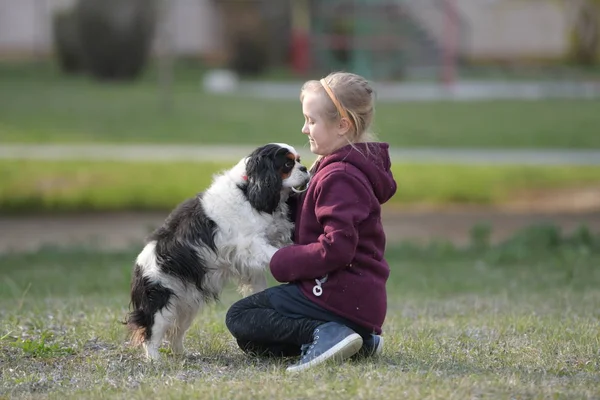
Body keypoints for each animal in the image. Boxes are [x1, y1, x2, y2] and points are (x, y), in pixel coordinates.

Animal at [127, 143, 314, 360]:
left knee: (176, 332)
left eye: (298, 161)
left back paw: (183, 354)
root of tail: (138, 270)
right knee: (151, 333)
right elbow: (272, 253)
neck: (248, 189)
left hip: (185, 304)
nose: (305, 169)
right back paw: (155, 359)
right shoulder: (249, 244)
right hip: (160, 302)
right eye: (287, 164)